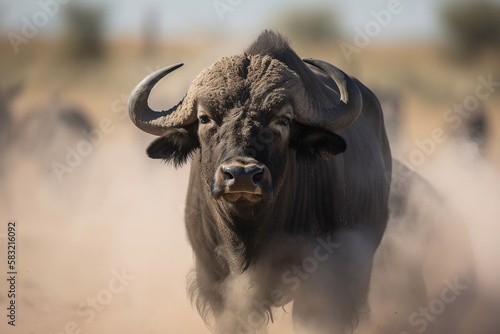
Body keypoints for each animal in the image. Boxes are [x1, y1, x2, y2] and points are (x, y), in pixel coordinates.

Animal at [130, 31, 394, 334]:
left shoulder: (322, 284)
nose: (242, 175)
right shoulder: (216, 286)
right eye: (204, 118)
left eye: (283, 120)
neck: (249, 234)